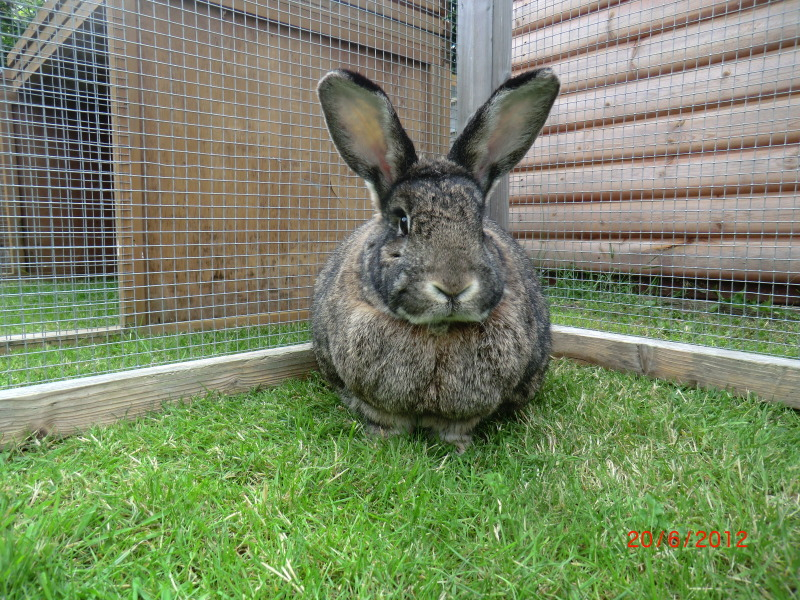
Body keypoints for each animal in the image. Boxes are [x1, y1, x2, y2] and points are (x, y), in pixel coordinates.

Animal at [310, 68, 560, 450]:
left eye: (479, 223)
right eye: (402, 221)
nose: (453, 286)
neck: (439, 329)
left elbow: (457, 427)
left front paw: (458, 448)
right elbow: (382, 419)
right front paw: (381, 441)